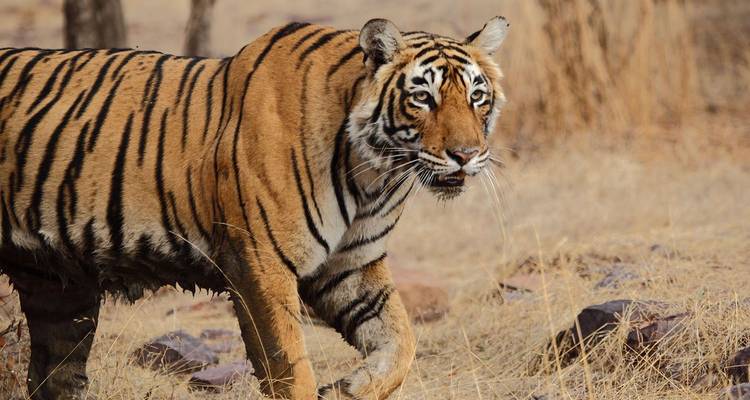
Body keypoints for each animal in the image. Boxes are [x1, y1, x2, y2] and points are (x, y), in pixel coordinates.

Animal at [0, 16, 508, 400]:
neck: (373, 175)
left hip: (60, 292)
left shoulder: (351, 264)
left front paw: (350, 387)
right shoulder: (261, 262)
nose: (466, 155)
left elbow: (402, 341)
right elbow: (288, 363)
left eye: (476, 97)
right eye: (423, 97)